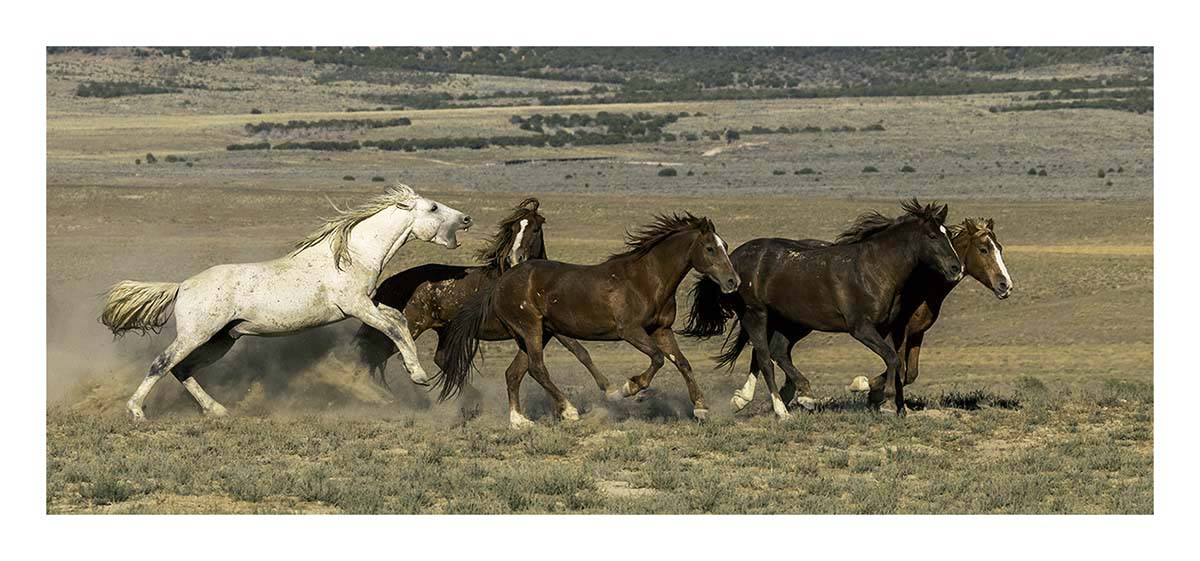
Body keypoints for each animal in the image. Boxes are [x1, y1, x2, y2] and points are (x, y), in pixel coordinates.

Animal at [99, 184, 472, 420]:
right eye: (433, 207)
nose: (467, 219)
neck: (353, 255)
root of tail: (182, 286)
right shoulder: (356, 306)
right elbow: (394, 329)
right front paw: (418, 375)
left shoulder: (368, 305)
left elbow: (399, 321)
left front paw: (415, 373)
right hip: (197, 334)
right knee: (162, 364)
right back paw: (136, 412)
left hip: (221, 340)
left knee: (182, 370)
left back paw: (218, 411)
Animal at [350, 198, 612, 394]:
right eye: (513, 229)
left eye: (535, 229)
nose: (515, 257)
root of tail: (388, 283)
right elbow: (575, 349)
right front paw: (610, 389)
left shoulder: (547, 325)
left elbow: (579, 350)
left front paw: (607, 387)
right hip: (412, 328)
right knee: (375, 355)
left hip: (444, 331)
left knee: (439, 359)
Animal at [438, 213, 740, 428]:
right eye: (710, 248)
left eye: (725, 246)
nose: (732, 281)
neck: (646, 279)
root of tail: (501, 282)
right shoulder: (631, 330)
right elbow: (657, 359)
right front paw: (626, 389)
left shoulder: (661, 330)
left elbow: (682, 363)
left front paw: (701, 408)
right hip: (530, 328)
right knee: (537, 368)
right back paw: (569, 410)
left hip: (537, 333)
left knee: (514, 372)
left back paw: (519, 421)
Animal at [682, 200, 962, 418]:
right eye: (933, 236)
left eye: (949, 234)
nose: (956, 268)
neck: (876, 269)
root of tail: (733, 260)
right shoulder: (862, 328)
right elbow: (892, 358)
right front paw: (887, 403)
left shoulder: (889, 327)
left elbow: (898, 362)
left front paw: (891, 403)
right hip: (756, 314)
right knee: (764, 355)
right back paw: (784, 405)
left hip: (792, 321)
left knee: (776, 351)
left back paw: (787, 396)